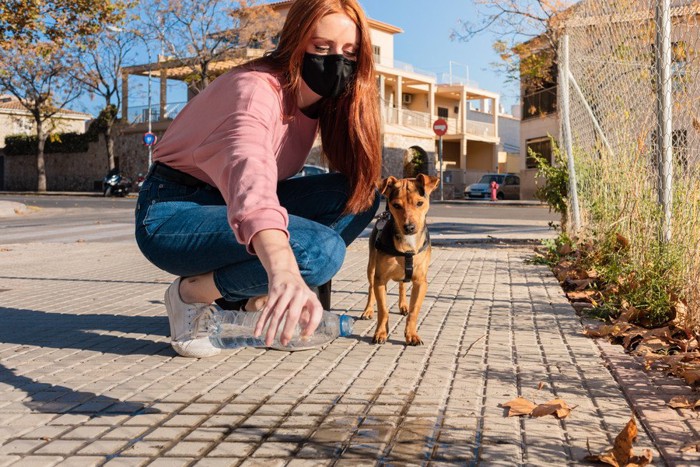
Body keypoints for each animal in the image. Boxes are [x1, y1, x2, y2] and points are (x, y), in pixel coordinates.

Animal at [360, 174, 438, 346]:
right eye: (396, 205)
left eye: (420, 203)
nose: (409, 227)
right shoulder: (380, 279)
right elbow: (383, 310)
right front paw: (380, 333)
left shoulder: (420, 282)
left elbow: (414, 311)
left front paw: (412, 335)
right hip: (371, 267)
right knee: (370, 288)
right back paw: (368, 310)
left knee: (402, 286)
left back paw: (403, 305)